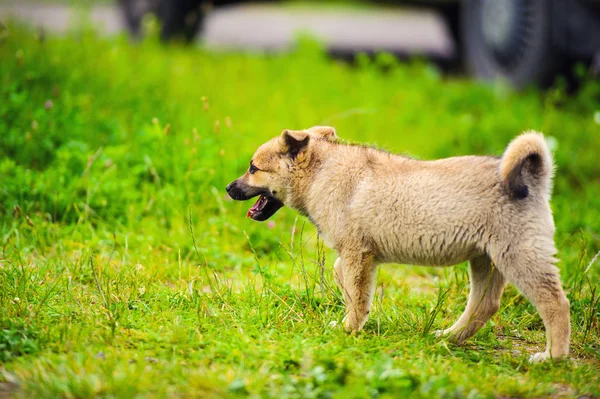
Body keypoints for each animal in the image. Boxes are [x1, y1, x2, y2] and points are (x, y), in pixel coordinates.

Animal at [226, 127, 572, 362]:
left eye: (253, 168)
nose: (229, 188)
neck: (321, 173)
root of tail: (535, 179)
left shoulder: (357, 253)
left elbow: (356, 295)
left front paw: (349, 329)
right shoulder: (358, 256)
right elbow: (345, 281)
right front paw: (351, 318)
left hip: (520, 256)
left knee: (555, 303)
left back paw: (552, 357)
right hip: (486, 259)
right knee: (484, 305)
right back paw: (450, 337)